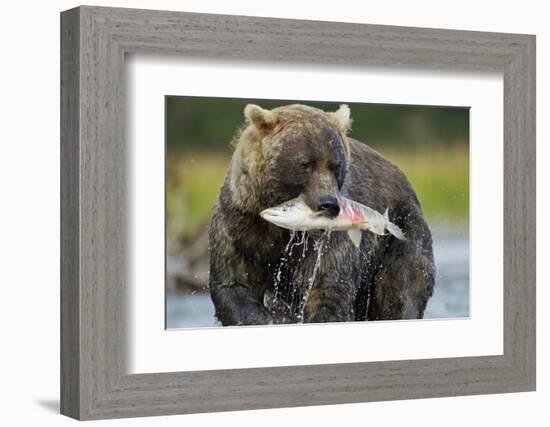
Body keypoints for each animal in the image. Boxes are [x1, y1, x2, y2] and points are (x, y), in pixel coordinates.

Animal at [210, 105, 436, 326]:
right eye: (305, 164)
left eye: (335, 165)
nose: (329, 204)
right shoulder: (240, 225)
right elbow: (234, 285)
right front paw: (279, 317)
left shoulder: (327, 241)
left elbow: (329, 289)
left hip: (402, 233)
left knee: (399, 291)